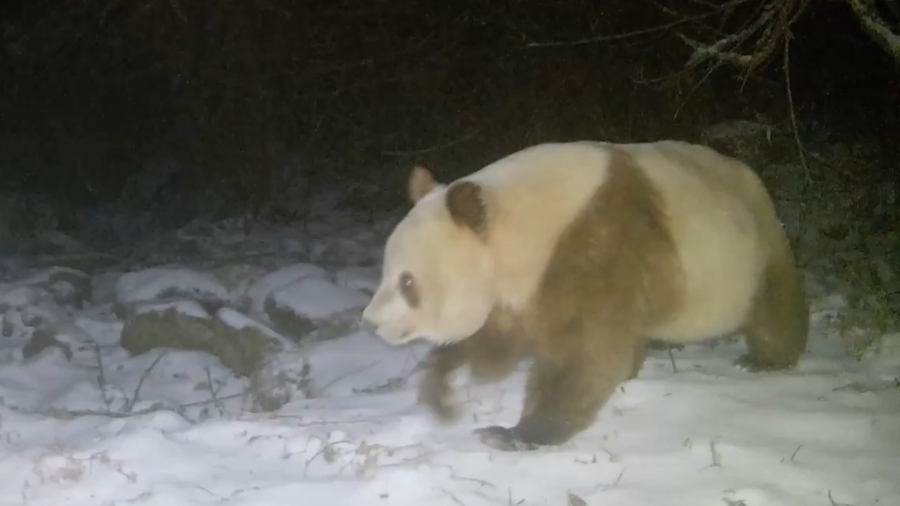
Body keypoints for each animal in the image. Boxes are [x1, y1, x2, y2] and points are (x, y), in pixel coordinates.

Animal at [360, 140, 809, 452]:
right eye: (385, 271)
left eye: (407, 282)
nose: (371, 323)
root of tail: (749, 173)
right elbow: (493, 341)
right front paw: (442, 386)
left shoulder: (598, 242)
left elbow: (582, 352)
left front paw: (514, 434)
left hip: (751, 246)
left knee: (773, 302)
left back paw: (765, 359)